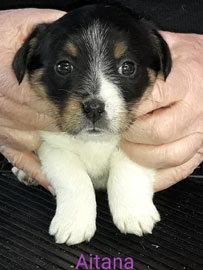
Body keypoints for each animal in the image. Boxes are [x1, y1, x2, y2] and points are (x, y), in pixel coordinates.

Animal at [11, 4, 171, 246]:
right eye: (64, 66)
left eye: (128, 67)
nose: (94, 108)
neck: (94, 141)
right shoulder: (53, 146)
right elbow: (74, 179)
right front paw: (73, 223)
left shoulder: (145, 142)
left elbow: (126, 169)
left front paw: (133, 212)